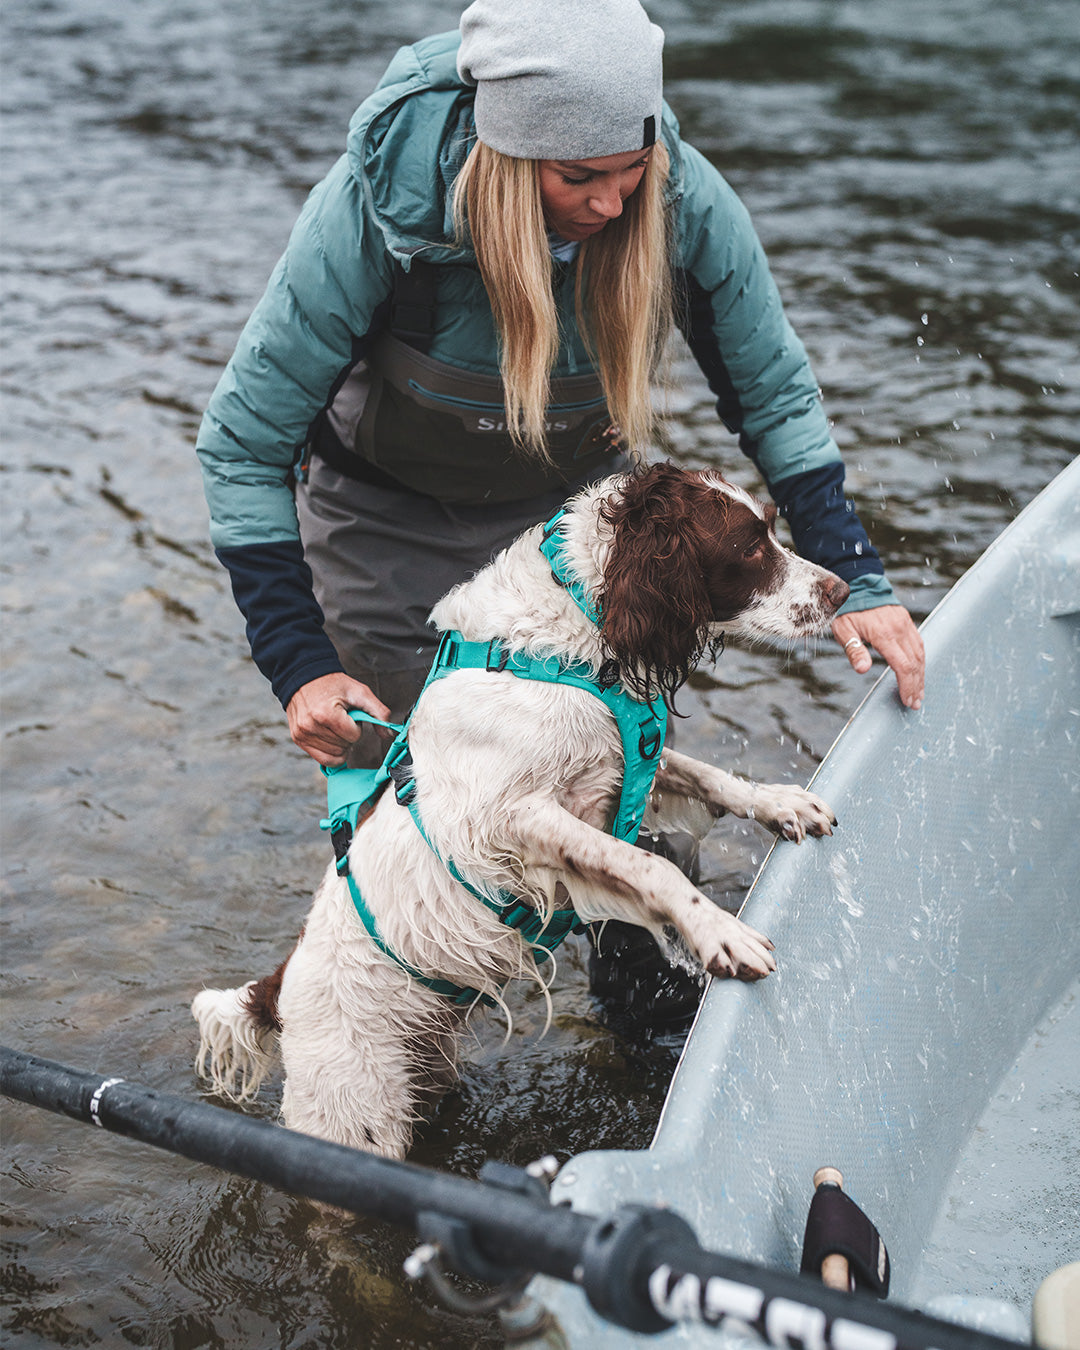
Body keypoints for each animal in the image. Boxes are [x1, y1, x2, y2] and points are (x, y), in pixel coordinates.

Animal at [195, 464, 853, 1161]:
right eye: (749, 546)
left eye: (771, 526)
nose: (841, 590)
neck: (565, 642)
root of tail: (275, 994)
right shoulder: (511, 820)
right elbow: (653, 869)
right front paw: (721, 934)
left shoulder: (620, 764)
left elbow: (709, 777)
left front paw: (782, 802)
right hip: (354, 1118)